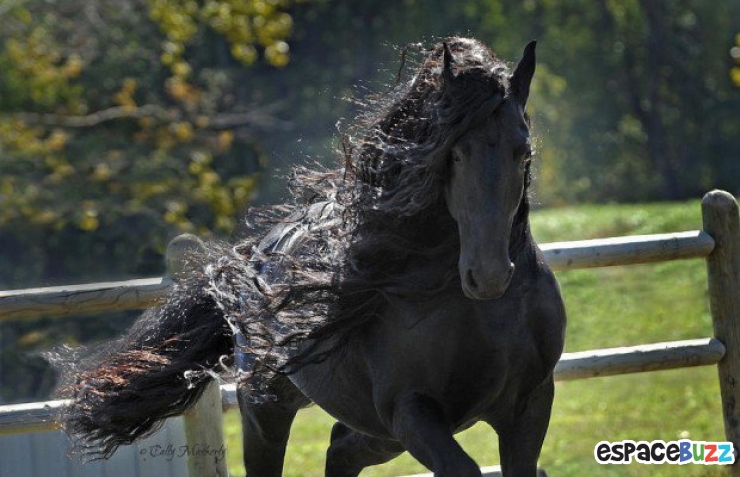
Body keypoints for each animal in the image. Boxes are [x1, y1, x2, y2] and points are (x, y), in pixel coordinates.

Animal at [56, 37, 566, 477]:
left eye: (523, 152)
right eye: (454, 154)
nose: (488, 275)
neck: (481, 316)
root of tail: (254, 256)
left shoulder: (529, 405)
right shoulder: (412, 411)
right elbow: (461, 467)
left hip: (375, 432)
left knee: (340, 451)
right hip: (270, 408)